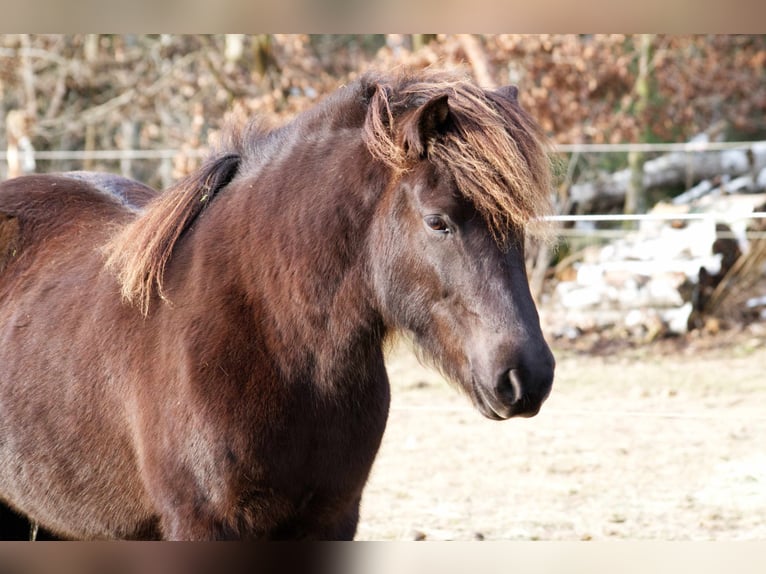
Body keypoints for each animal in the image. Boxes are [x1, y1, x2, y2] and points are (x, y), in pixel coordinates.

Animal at [0, 70, 556, 544]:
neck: (272, 340)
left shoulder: (333, 519)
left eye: (519, 225)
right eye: (439, 221)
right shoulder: (201, 524)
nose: (527, 375)